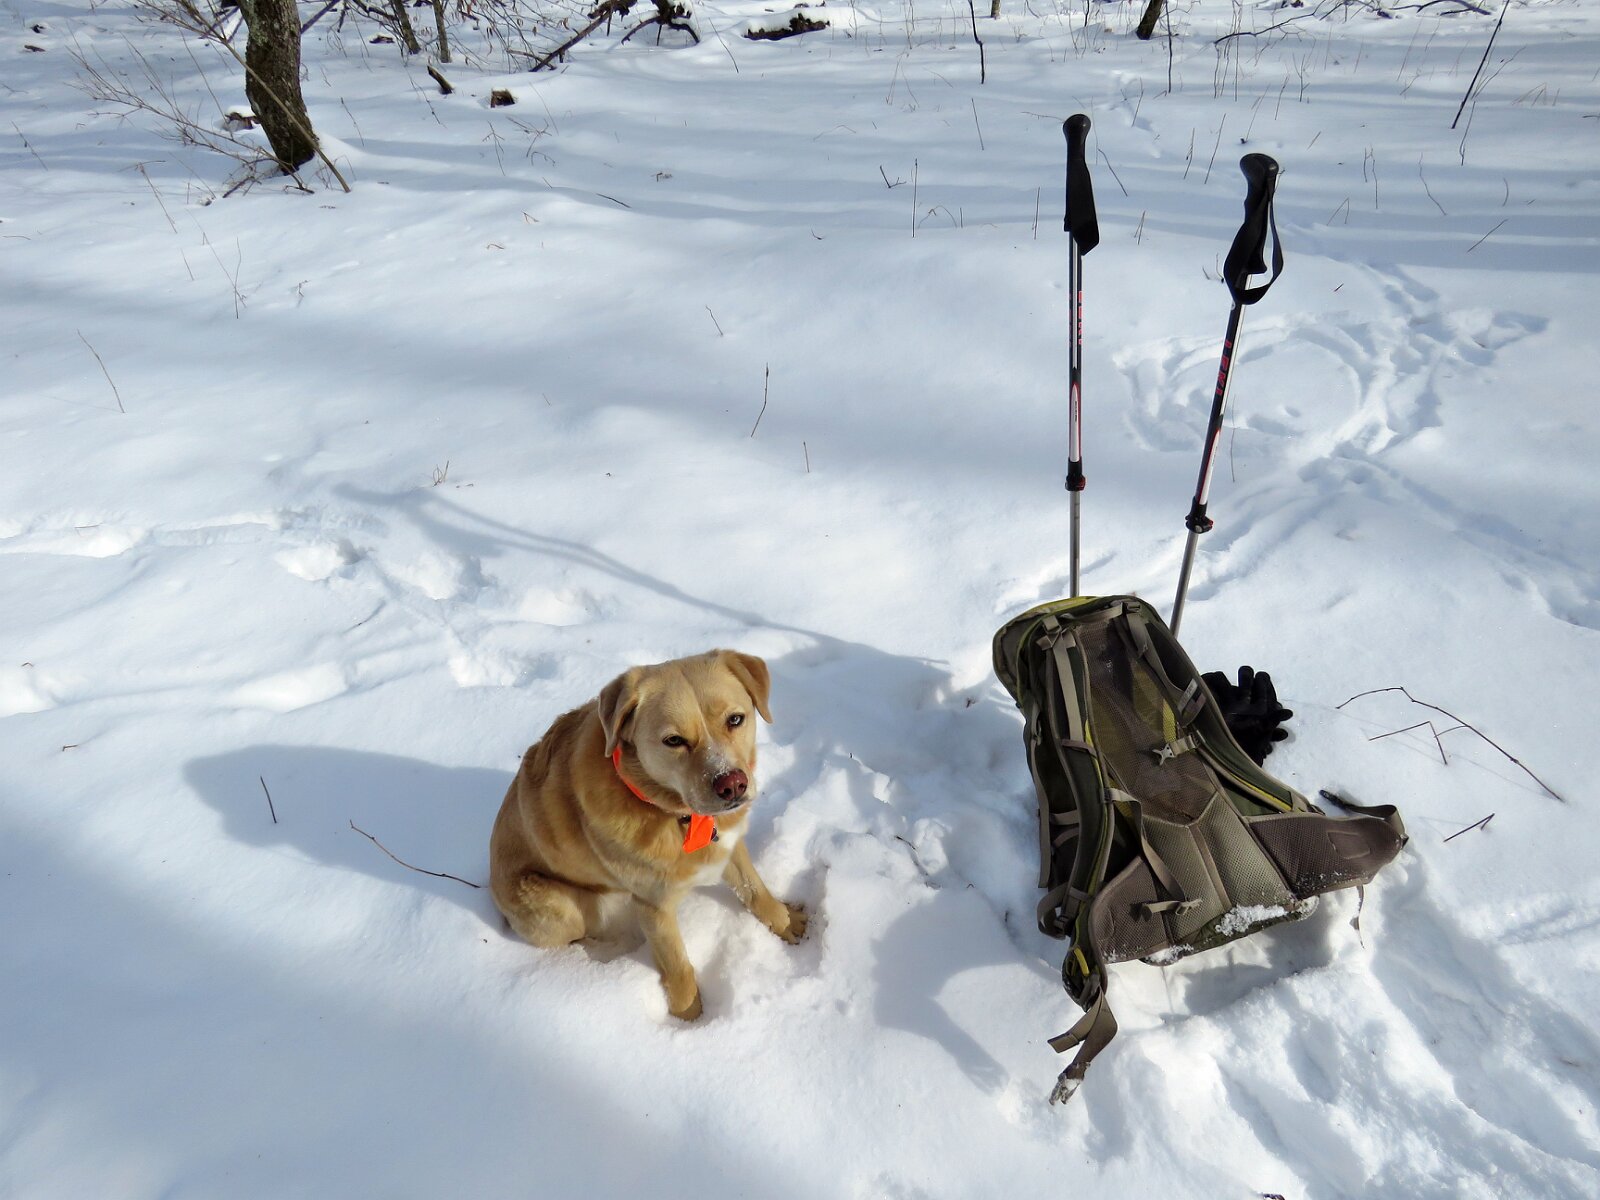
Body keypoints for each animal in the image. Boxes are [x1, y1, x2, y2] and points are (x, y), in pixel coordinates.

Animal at [490, 650, 806, 1019]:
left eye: (735, 719)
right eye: (674, 741)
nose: (732, 785)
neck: (678, 815)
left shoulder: (730, 847)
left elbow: (754, 890)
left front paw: (784, 921)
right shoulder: (654, 905)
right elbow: (677, 963)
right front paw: (689, 1015)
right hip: (558, 907)